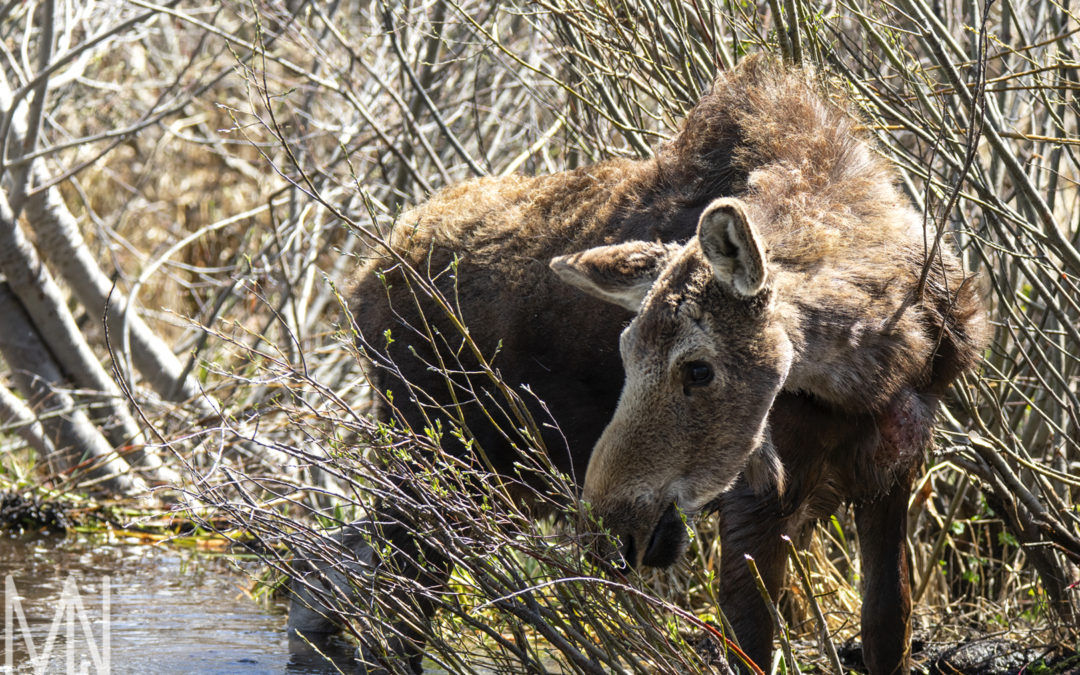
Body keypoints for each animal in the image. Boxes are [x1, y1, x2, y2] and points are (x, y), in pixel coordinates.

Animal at [291, 56, 984, 673]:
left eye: (698, 369)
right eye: (623, 357)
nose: (610, 526)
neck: (887, 361)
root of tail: (358, 286)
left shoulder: (892, 472)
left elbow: (888, 632)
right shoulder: (758, 500)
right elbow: (753, 646)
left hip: (486, 476)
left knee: (339, 558)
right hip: (438, 458)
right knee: (397, 602)